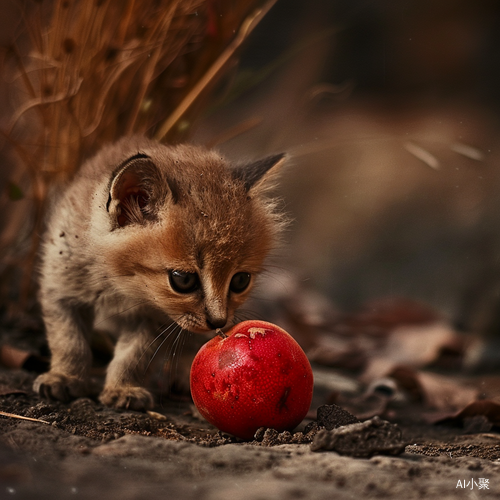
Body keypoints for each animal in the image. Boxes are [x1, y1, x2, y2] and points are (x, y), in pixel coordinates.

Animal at [34, 137, 286, 410]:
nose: (218, 322)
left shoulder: (155, 319)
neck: (119, 285)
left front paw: (123, 388)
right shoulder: (59, 289)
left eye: (240, 280)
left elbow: (134, 356)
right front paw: (64, 377)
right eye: (183, 280)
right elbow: (69, 341)